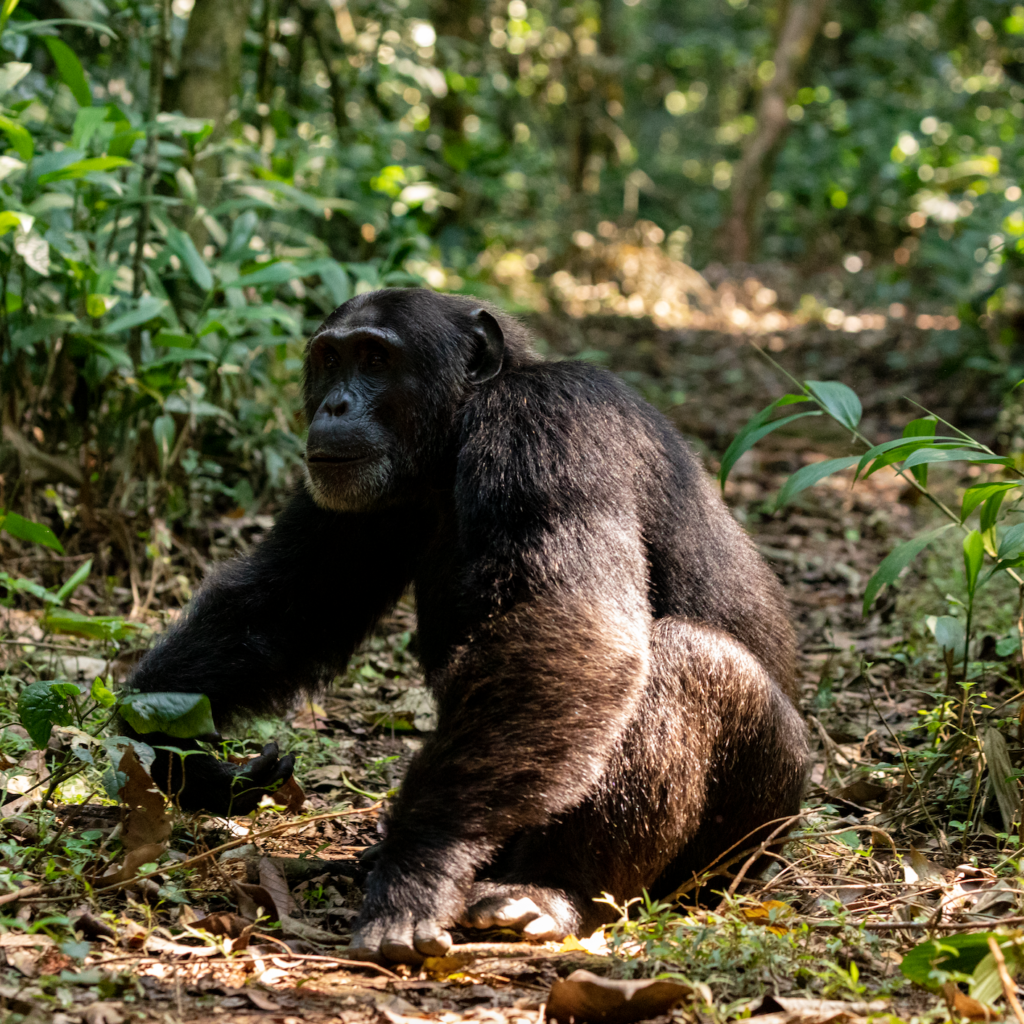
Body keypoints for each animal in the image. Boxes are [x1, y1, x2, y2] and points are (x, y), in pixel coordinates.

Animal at [121, 286, 806, 958]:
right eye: (330, 360)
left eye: (375, 360)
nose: (336, 404)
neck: (455, 433)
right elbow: (289, 601)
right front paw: (172, 750)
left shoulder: (547, 425)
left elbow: (572, 626)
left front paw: (420, 866)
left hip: (743, 840)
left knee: (687, 661)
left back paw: (552, 890)